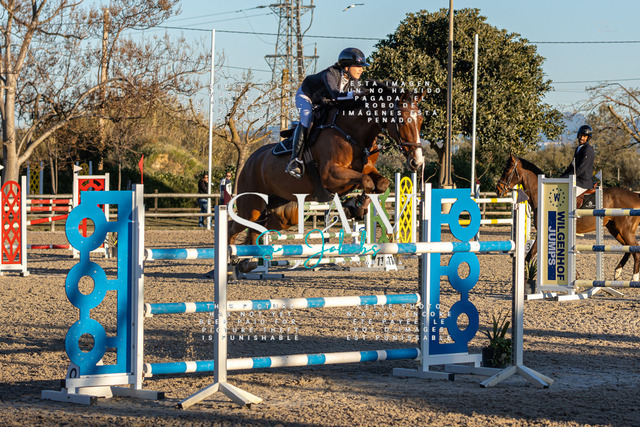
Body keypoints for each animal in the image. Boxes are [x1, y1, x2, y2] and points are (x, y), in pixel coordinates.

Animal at [229, 81, 426, 246]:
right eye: (403, 120)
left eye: (421, 120)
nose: (417, 161)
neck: (352, 133)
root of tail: (250, 161)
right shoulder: (330, 175)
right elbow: (367, 181)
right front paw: (355, 207)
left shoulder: (368, 169)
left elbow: (381, 183)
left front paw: (356, 206)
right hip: (251, 206)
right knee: (234, 227)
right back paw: (232, 260)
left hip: (283, 212)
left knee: (257, 230)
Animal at [496, 153, 640, 281]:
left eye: (507, 170)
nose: (498, 189)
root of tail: (635, 195)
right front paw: (575, 275)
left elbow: (530, 255)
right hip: (615, 230)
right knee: (629, 248)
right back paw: (617, 272)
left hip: (625, 230)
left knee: (635, 250)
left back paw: (634, 277)